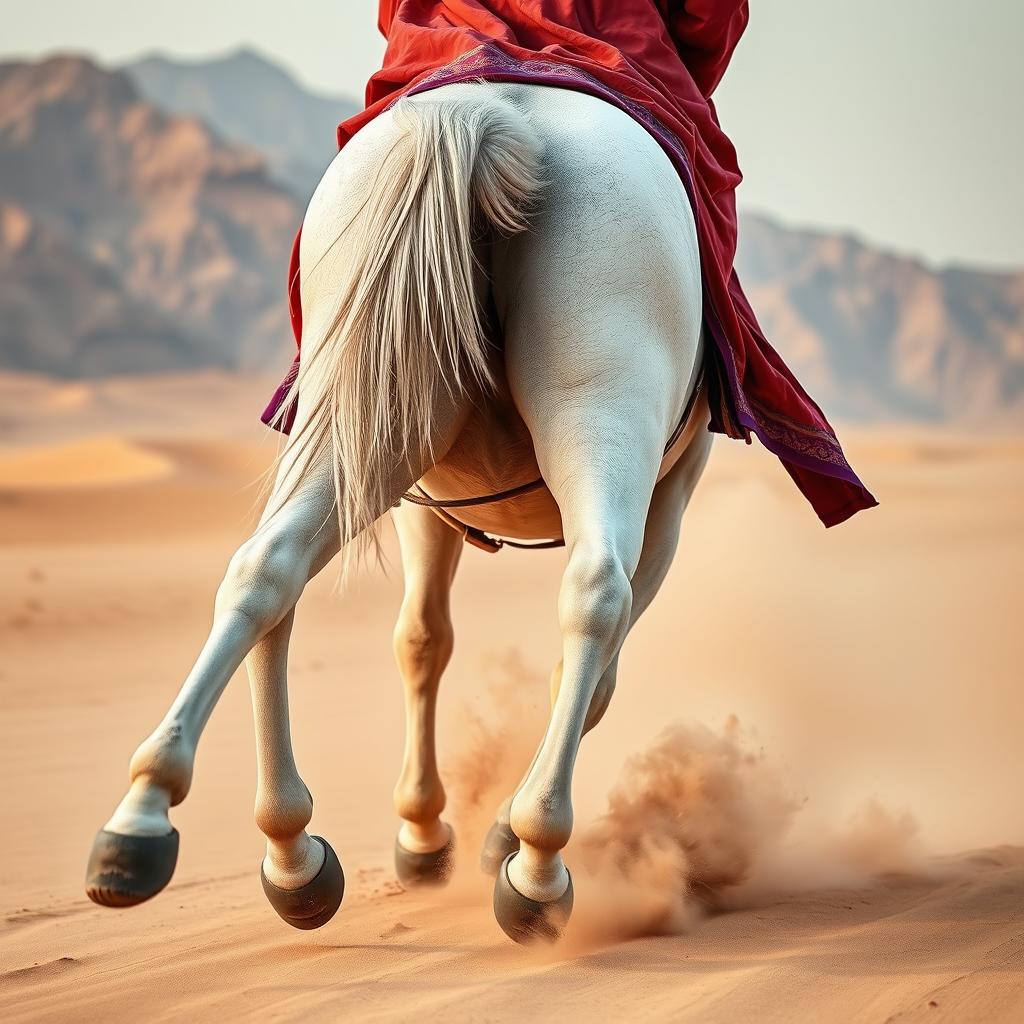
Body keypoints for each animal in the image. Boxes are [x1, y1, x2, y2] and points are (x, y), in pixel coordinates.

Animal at [86, 79, 712, 942]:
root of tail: (503, 111)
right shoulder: (670, 498)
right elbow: (570, 671)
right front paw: (468, 833)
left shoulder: (433, 497)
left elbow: (420, 639)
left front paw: (430, 829)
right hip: (600, 399)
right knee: (596, 595)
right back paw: (536, 863)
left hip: (364, 411)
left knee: (266, 569)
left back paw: (207, 833)